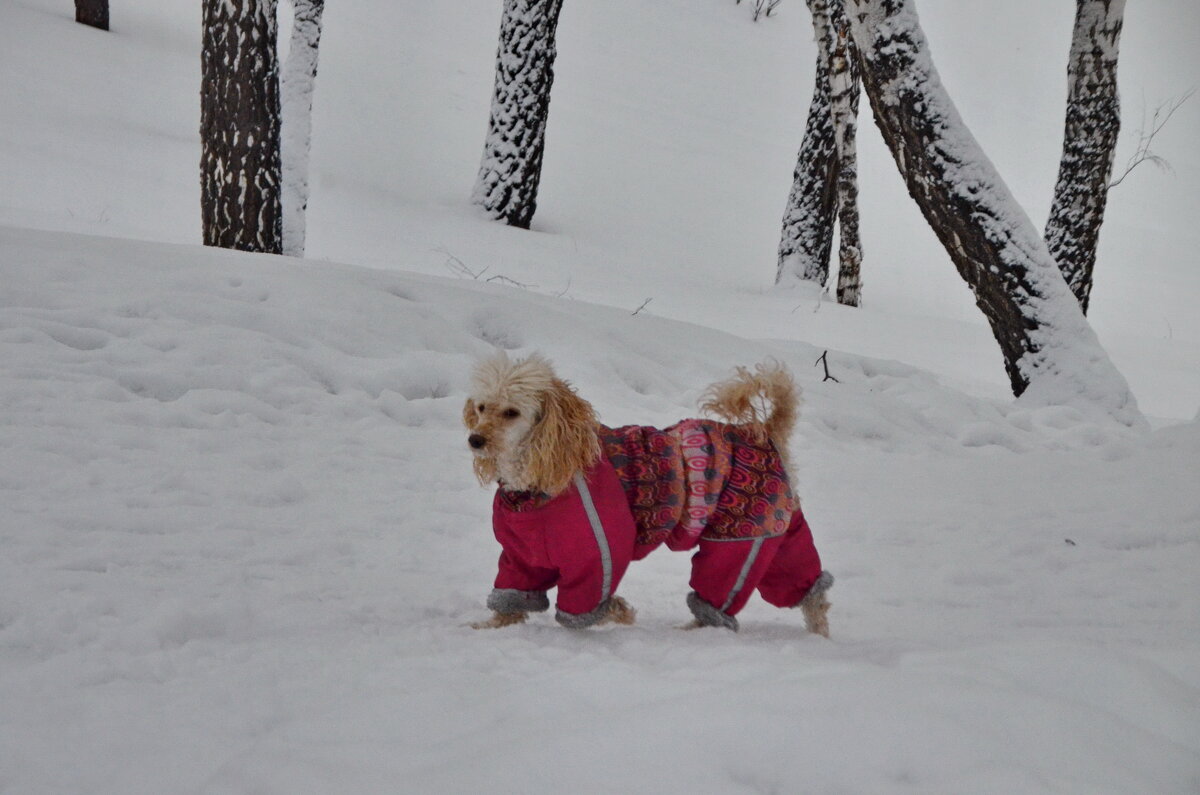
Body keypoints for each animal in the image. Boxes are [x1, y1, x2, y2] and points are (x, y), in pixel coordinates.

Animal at [463, 353, 830, 638]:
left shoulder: (598, 550)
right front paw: (488, 626)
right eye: (481, 407)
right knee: (807, 589)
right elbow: (512, 597)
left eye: (512, 412)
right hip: (777, 530)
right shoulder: (523, 555)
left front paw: (617, 611)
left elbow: (583, 604)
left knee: (723, 591)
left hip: (740, 536)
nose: (475, 440)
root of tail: (766, 433)